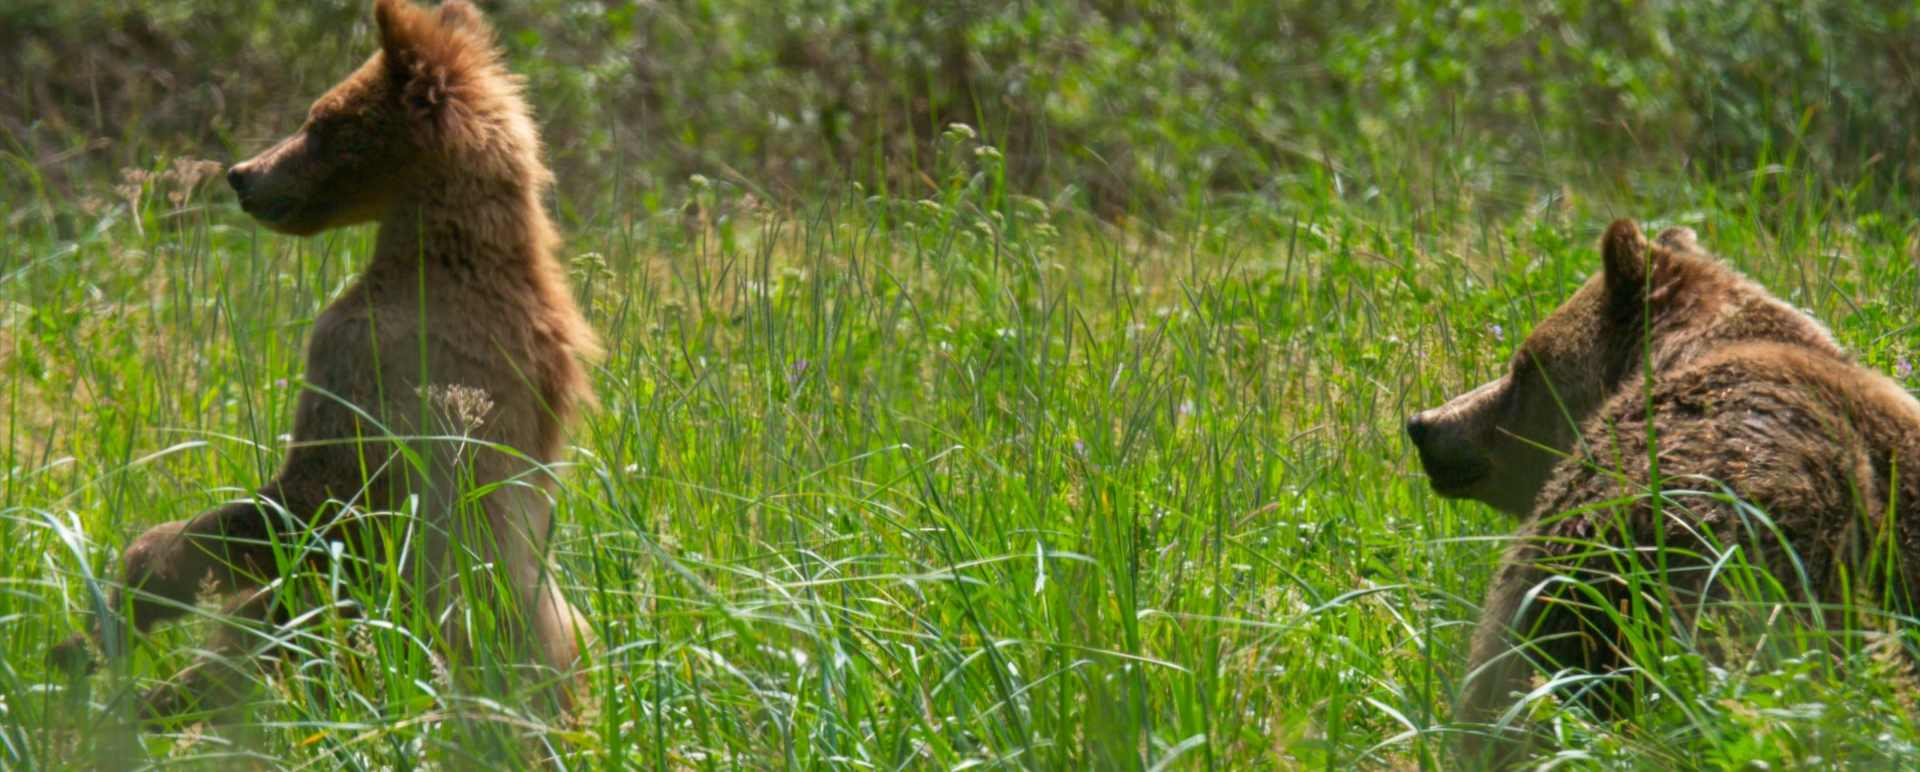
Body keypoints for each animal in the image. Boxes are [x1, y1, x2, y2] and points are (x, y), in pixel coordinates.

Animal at [51, 0, 602, 718]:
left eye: (319, 122)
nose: (241, 174)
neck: (441, 249)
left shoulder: (365, 351)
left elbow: (312, 496)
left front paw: (128, 596)